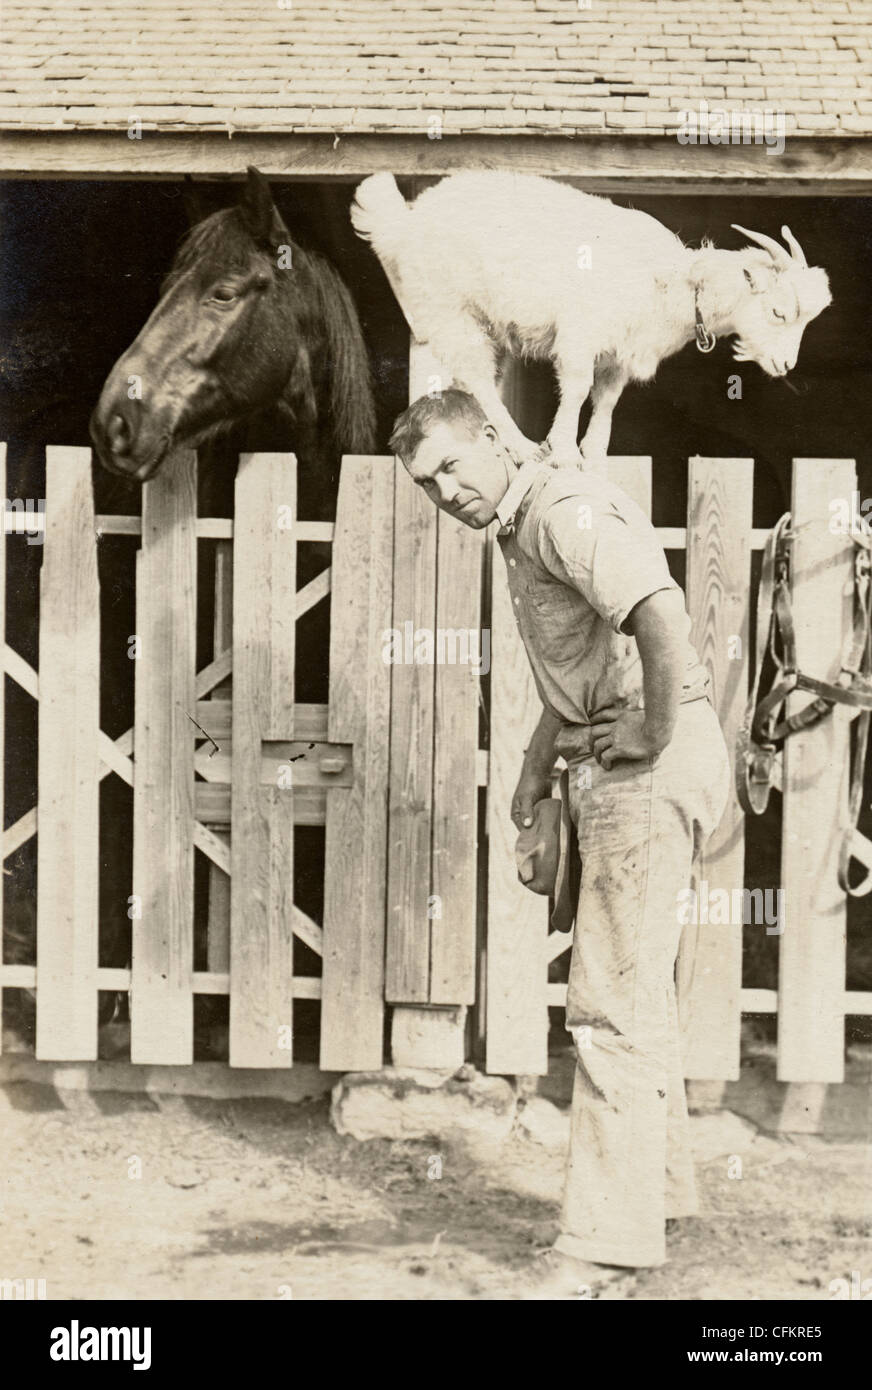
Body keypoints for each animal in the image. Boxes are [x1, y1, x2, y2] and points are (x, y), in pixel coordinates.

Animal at [353, 172, 834, 461]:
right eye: (778, 311)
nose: (785, 365)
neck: (670, 283)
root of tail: (405, 224)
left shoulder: (620, 353)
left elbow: (606, 401)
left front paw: (593, 455)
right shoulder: (580, 335)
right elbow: (578, 389)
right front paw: (562, 449)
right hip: (450, 309)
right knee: (476, 376)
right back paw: (522, 446)